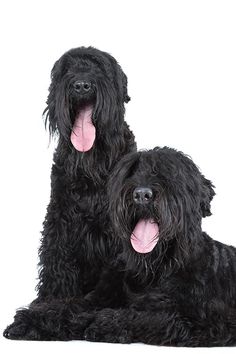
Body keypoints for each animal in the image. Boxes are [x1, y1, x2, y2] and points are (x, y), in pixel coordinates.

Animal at [3, 46, 136, 340]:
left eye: (99, 67)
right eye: (66, 69)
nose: (82, 85)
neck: (93, 169)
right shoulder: (60, 221)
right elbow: (57, 265)